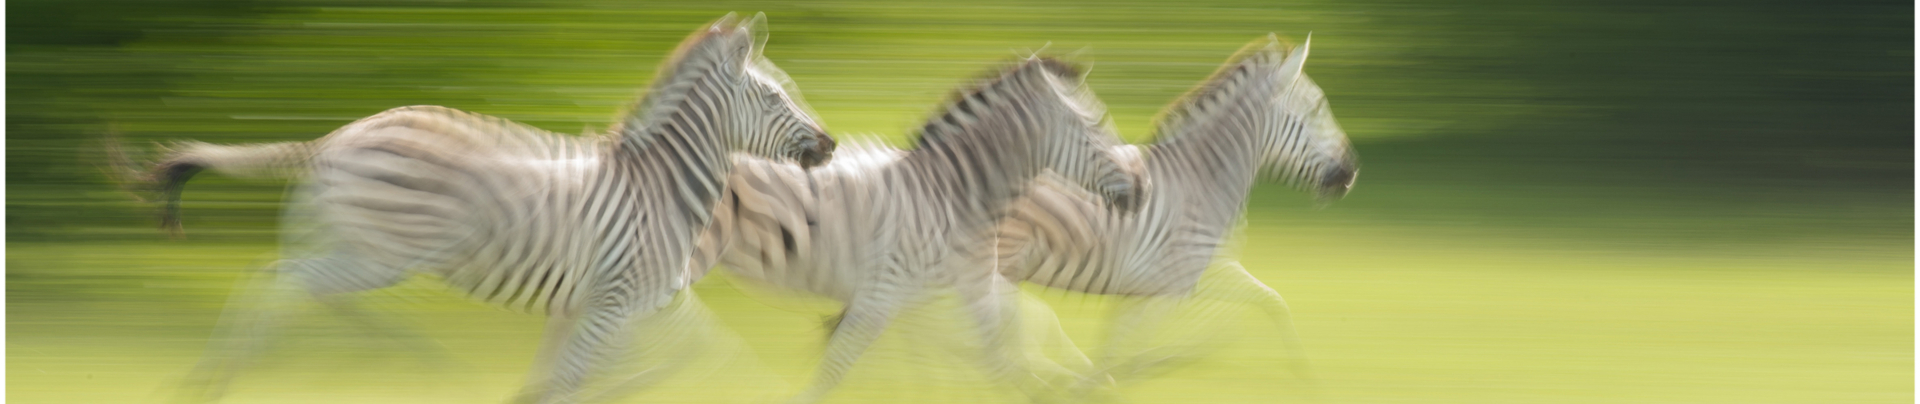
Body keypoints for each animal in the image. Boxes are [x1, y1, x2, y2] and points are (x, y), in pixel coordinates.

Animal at [112, 14, 835, 404]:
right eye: (777, 97)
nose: (829, 145)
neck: (660, 188)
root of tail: (335, 139)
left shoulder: (610, 305)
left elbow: (583, 378)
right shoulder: (619, 303)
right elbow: (675, 361)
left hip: (352, 247)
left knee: (299, 287)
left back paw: (410, 358)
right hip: (380, 254)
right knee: (277, 283)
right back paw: (213, 382)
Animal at [686, 56, 1144, 403]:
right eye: (1095, 128)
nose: (1142, 189)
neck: (952, 198)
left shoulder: (948, 297)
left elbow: (1008, 345)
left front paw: (1088, 384)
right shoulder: (881, 300)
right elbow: (834, 372)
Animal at [993, 35, 1357, 391]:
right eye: (1317, 107)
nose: (1352, 172)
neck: (1202, 181)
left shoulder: (1200, 275)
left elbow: (1270, 302)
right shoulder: (1175, 282)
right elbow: (1126, 352)